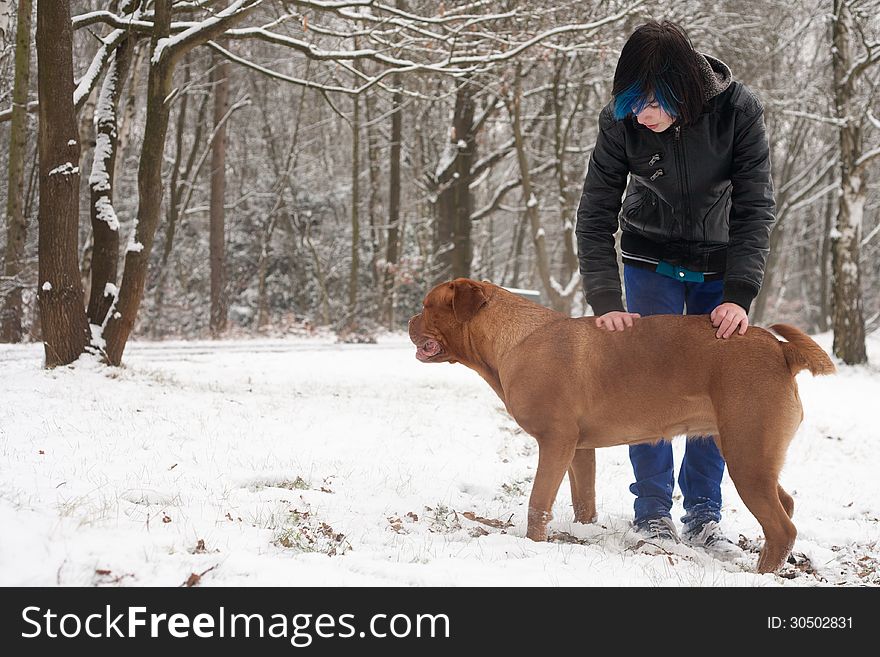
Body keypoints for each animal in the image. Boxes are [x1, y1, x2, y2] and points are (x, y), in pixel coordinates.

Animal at [410, 274, 836, 572]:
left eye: (428, 305)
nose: (411, 320)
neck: (514, 340)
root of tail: (781, 350)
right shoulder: (578, 449)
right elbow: (583, 500)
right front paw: (583, 533)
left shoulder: (554, 442)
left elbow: (538, 503)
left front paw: (533, 544)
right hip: (752, 453)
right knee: (786, 504)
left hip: (746, 456)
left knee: (783, 527)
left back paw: (762, 572)